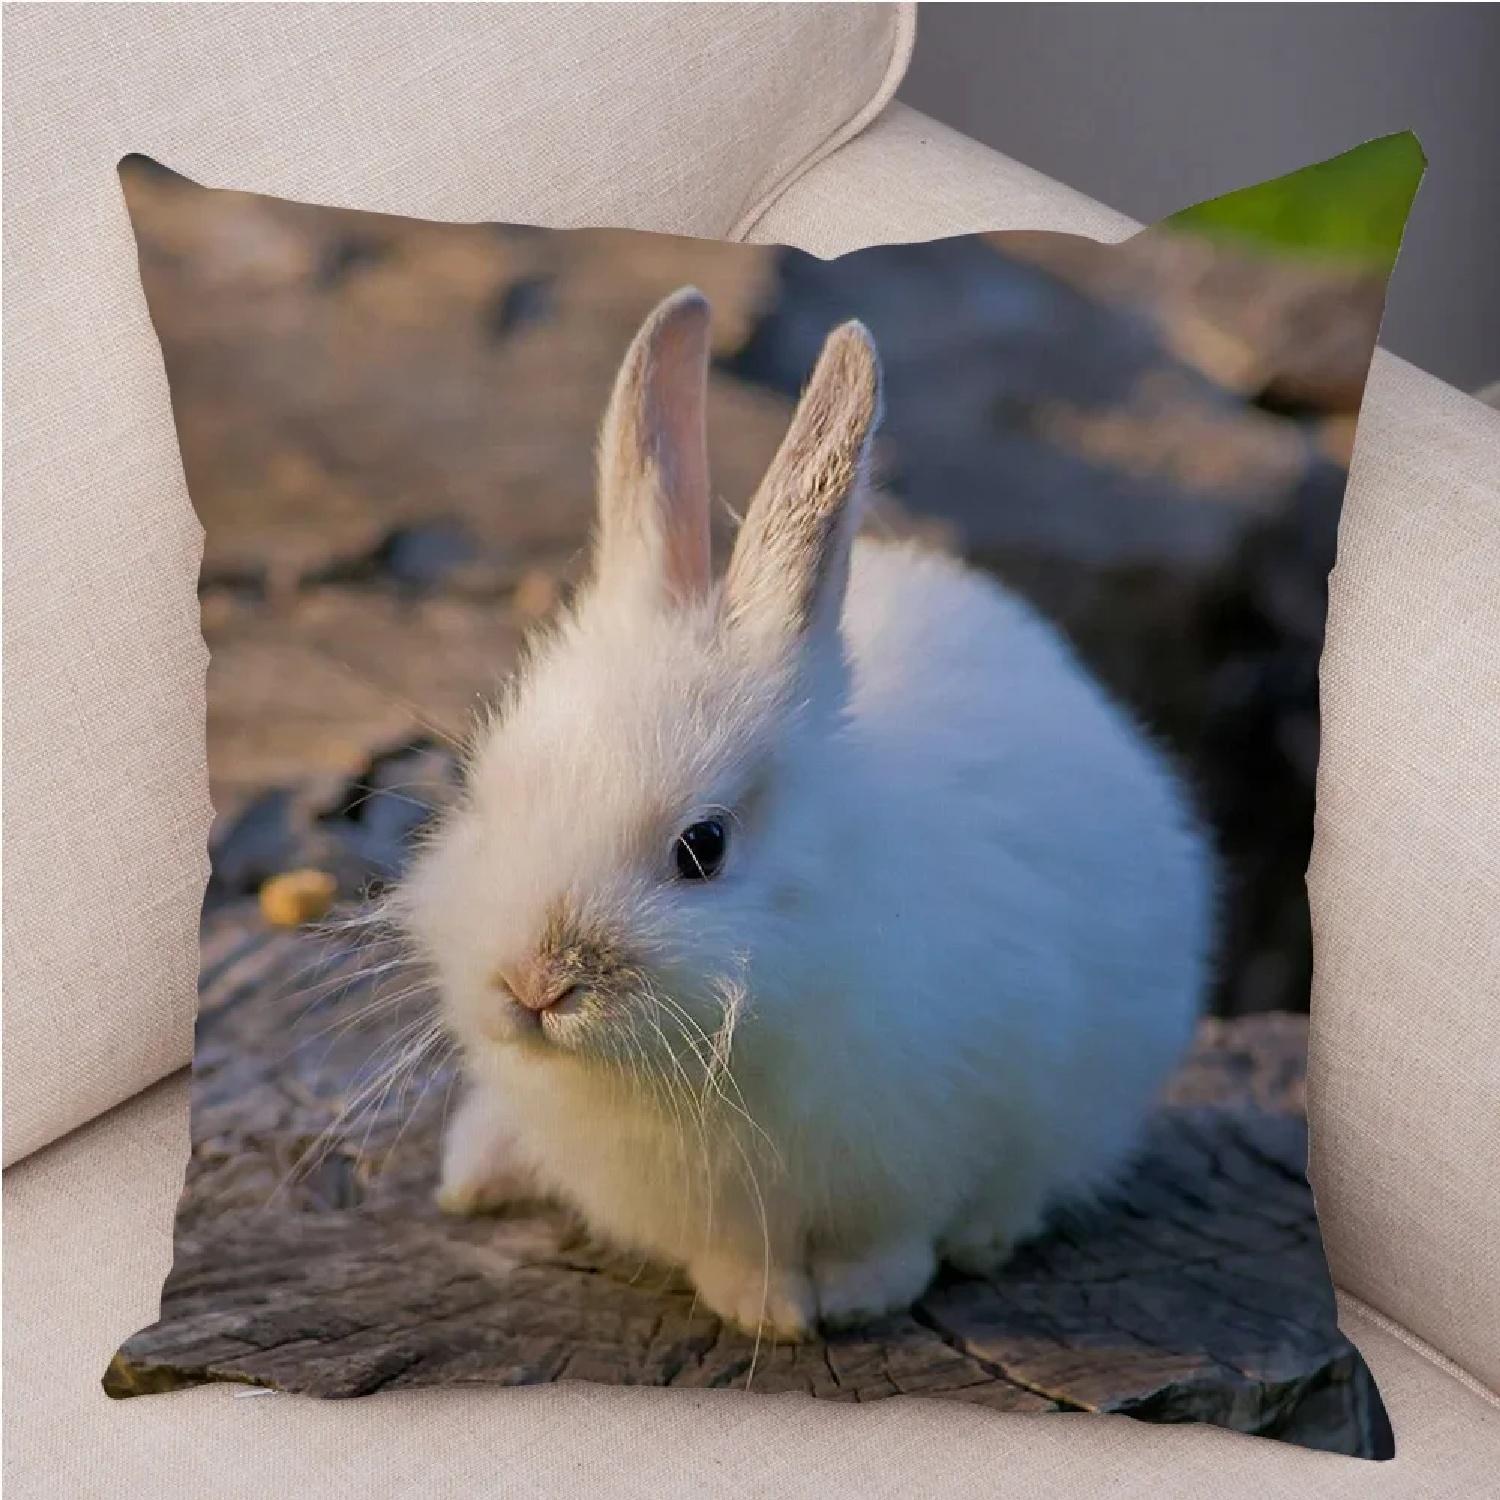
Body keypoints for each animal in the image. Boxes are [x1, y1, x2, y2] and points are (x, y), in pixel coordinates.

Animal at [397, 286, 1215, 1339]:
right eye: (484, 794)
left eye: (703, 847)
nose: (534, 985)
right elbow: (736, 1257)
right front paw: (764, 1309)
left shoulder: (933, 1145)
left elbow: (897, 1239)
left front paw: (861, 1300)